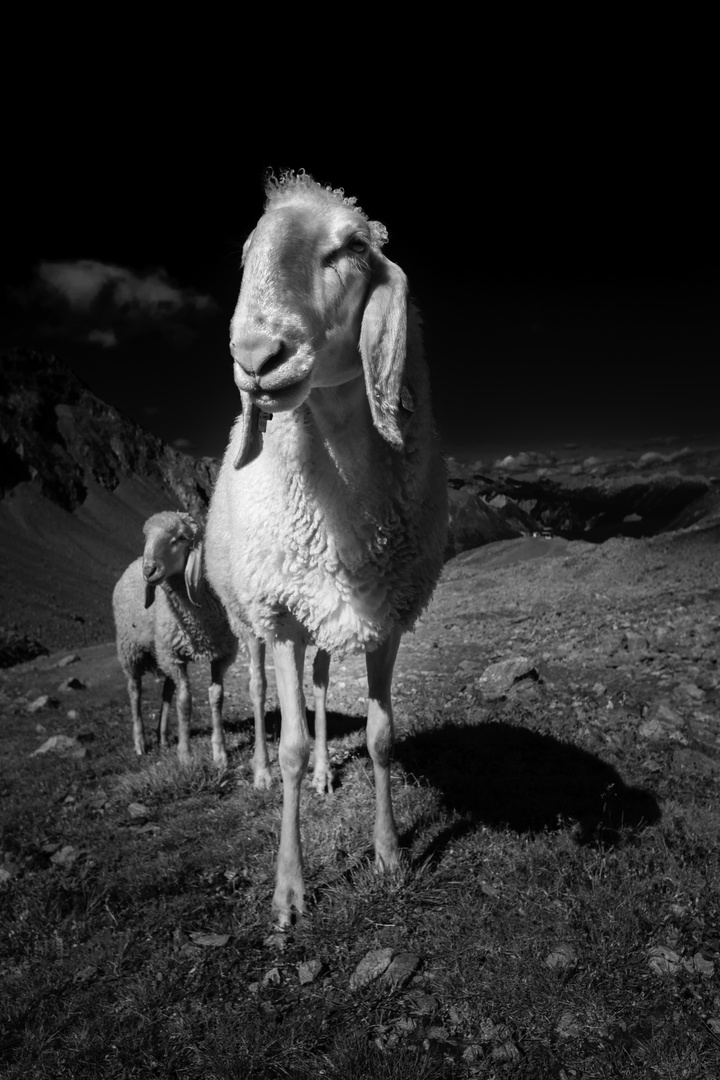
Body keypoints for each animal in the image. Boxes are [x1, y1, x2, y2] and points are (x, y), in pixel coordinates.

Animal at [205, 170, 446, 928]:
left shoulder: (388, 614)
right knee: (259, 691)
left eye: (349, 248)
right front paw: (290, 892)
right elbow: (286, 743)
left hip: (323, 613)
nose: (255, 357)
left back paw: (320, 776)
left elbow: (379, 736)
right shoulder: (281, 612)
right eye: (246, 254)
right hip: (252, 613)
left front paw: (390, 855)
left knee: (314, 684)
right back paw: (255, 771)